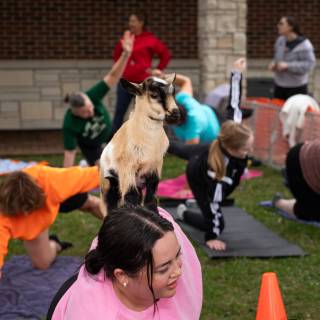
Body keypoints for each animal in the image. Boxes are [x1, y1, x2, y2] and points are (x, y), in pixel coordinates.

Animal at [100, 74, 180, 215]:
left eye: (173, 93)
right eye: (154, 95)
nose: (175, 113)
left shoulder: (155, 166)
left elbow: (151, 195)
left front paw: (153, 212)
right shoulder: (128, 166)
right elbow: (130, 195)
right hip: (108, 184)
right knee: (111, 204)